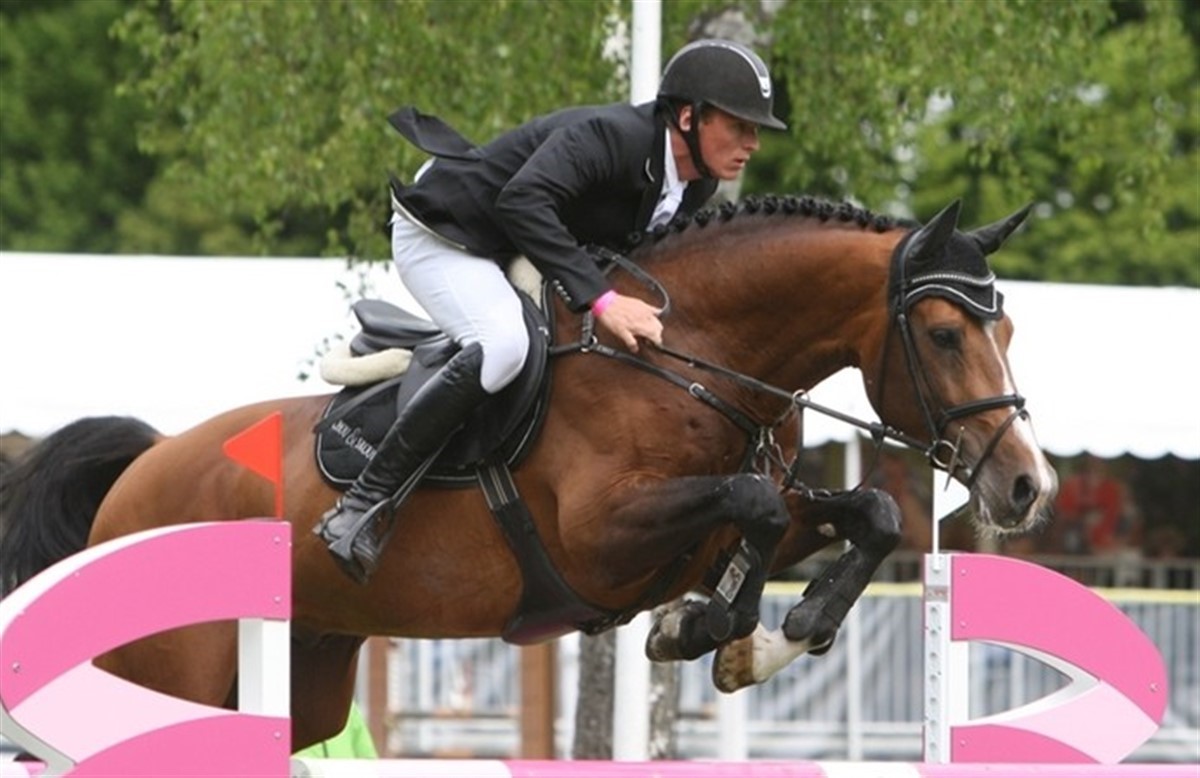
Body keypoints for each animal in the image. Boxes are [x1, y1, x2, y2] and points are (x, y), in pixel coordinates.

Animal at [0, 196, 1057, 750]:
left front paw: (759, 637)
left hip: (309, 676)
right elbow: (755, 504)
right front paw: (704, 627)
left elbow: (864, 510)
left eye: (1008, 328)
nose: (1026, 487)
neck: (691, 356)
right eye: (946, 334)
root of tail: (141, 466)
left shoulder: (731, 518)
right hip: (176, 672)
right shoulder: (597, 541)